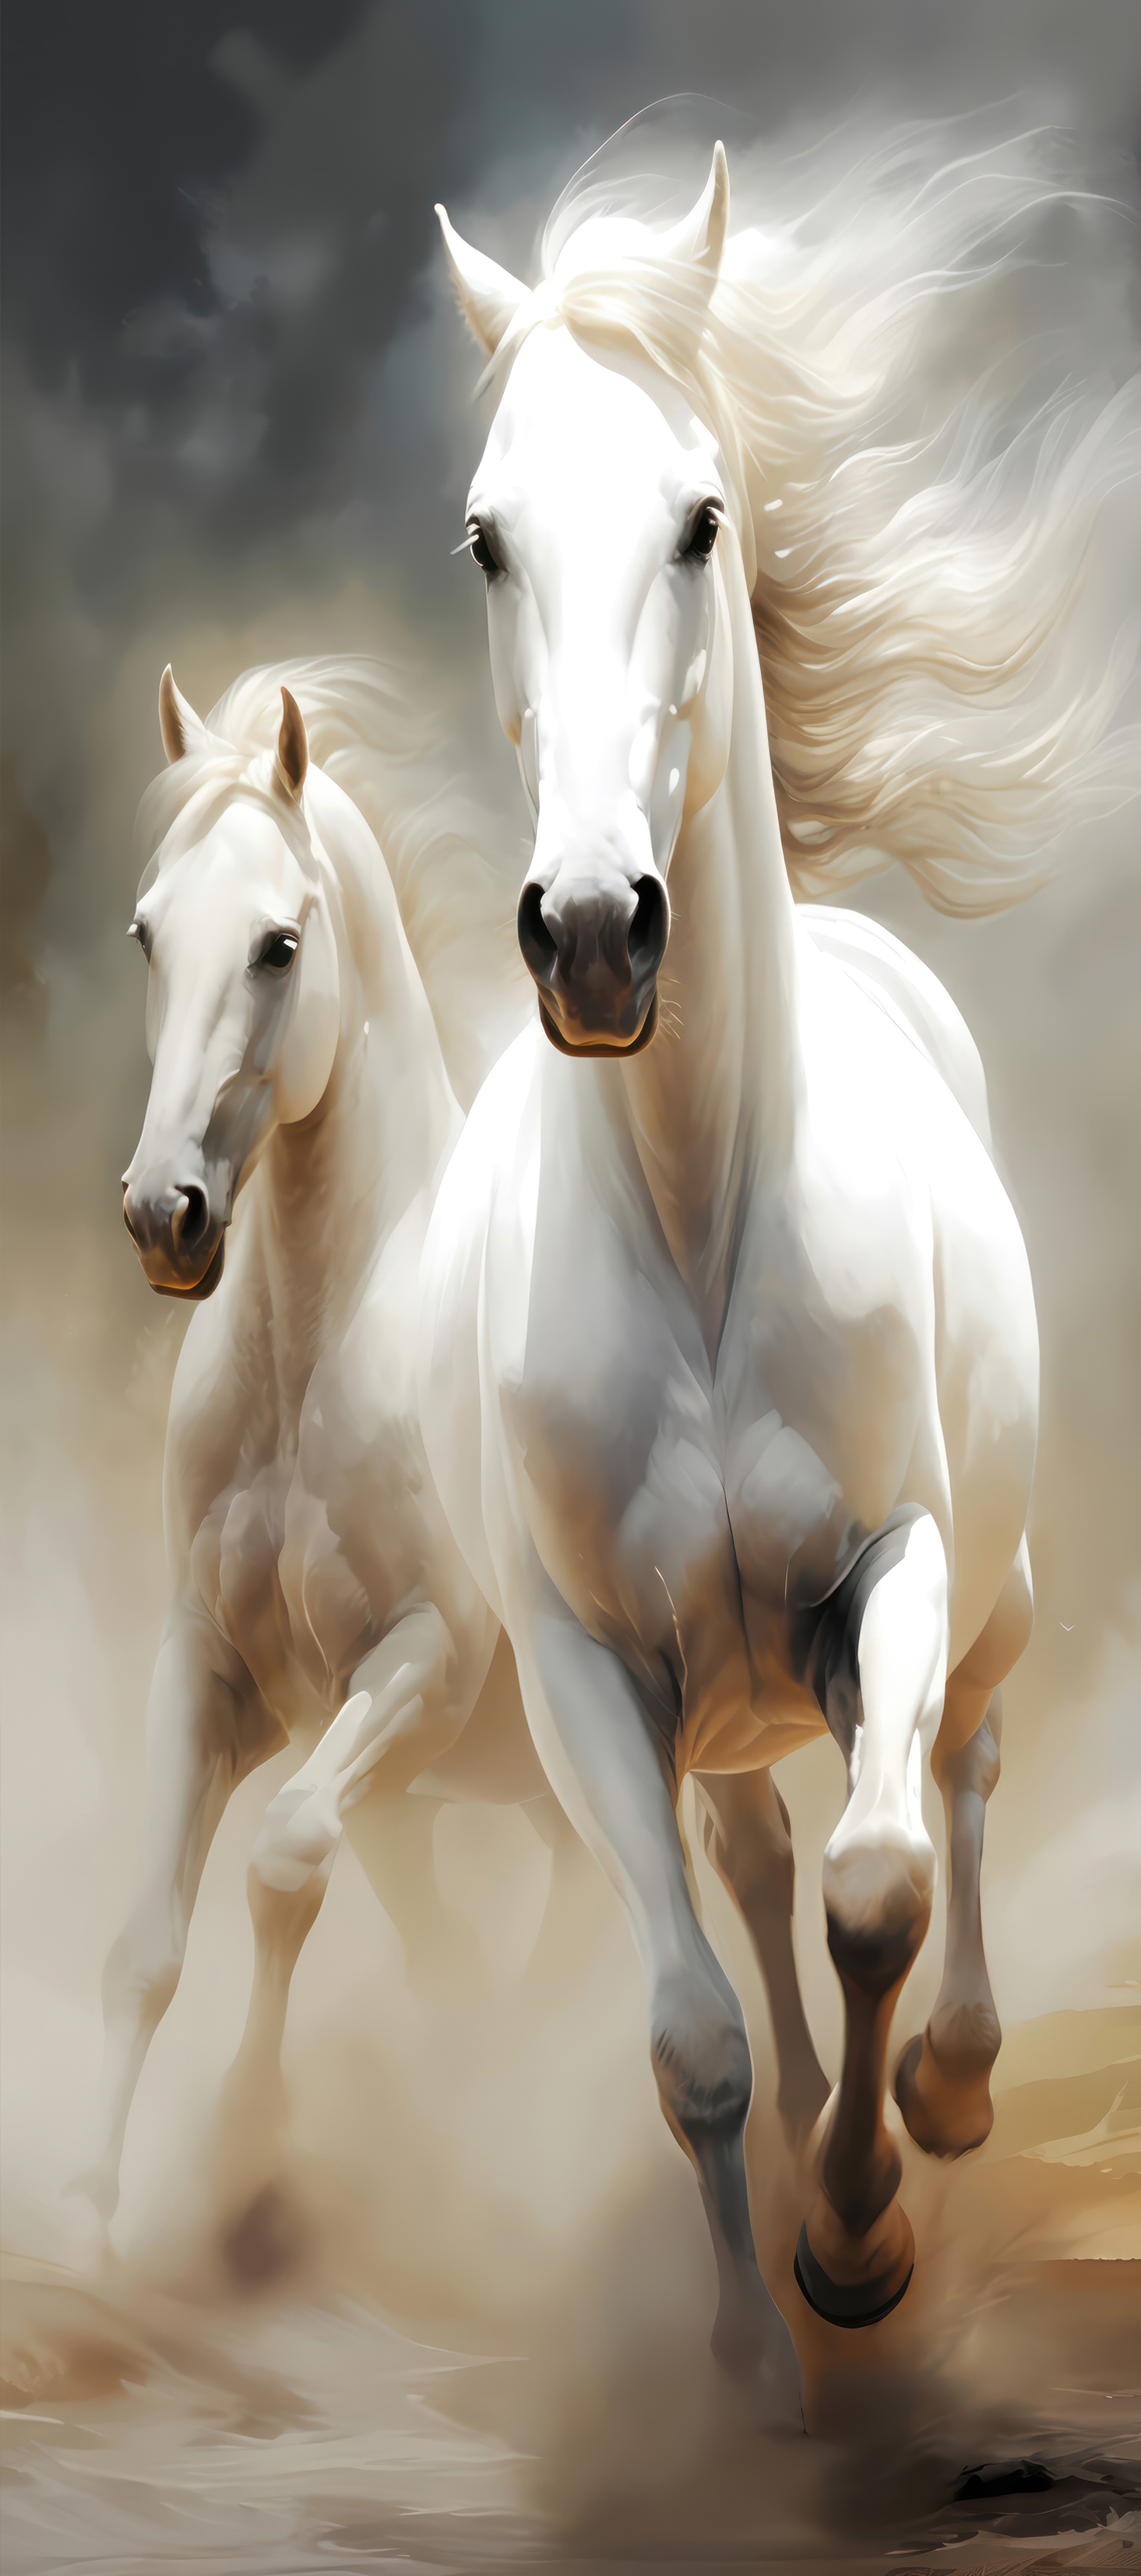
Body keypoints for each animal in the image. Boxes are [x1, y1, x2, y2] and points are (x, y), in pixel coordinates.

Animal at [78, 653, 575, 2238]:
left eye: (279, 945)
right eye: (146, 930)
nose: (163, 1214)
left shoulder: (421, 1661)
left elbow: (288, 1860)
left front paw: (249, 2129)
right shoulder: (214, 1666)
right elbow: (145, 1940)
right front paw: (87, 2206)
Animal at [422, 126, 1140, 2426]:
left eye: (701, 515)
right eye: (487, 535)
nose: (593, 931)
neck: (693, 1220)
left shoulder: (893, 1566)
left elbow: (884, 1880)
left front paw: (865, 2232)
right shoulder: (581, 1675)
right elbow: (695, 2038)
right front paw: (757, 2333)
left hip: (989, 1597)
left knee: (967, 1785)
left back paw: (959, 2086)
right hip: (710, 1710)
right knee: (745, 1875)